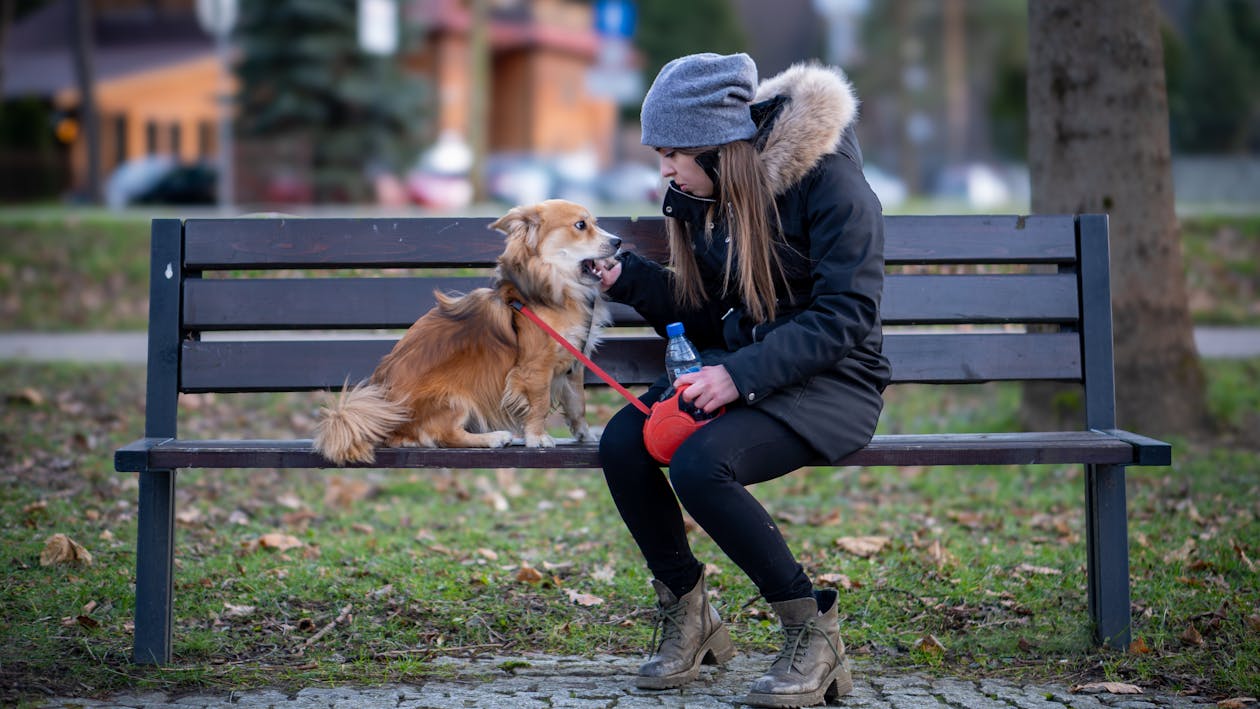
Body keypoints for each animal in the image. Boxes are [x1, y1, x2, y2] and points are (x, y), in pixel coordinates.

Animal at [315, 200, 619, 465]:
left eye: (595, 223)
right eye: (580, 225)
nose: (618, 242)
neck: (555, 289)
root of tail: (387, 424)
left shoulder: (573, 363)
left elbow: (577, 403)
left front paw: (584, 434)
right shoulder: (535, 369)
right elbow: (540, 403)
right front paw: (537, 437)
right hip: (454, 397)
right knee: (443, 435)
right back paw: (493, 438)